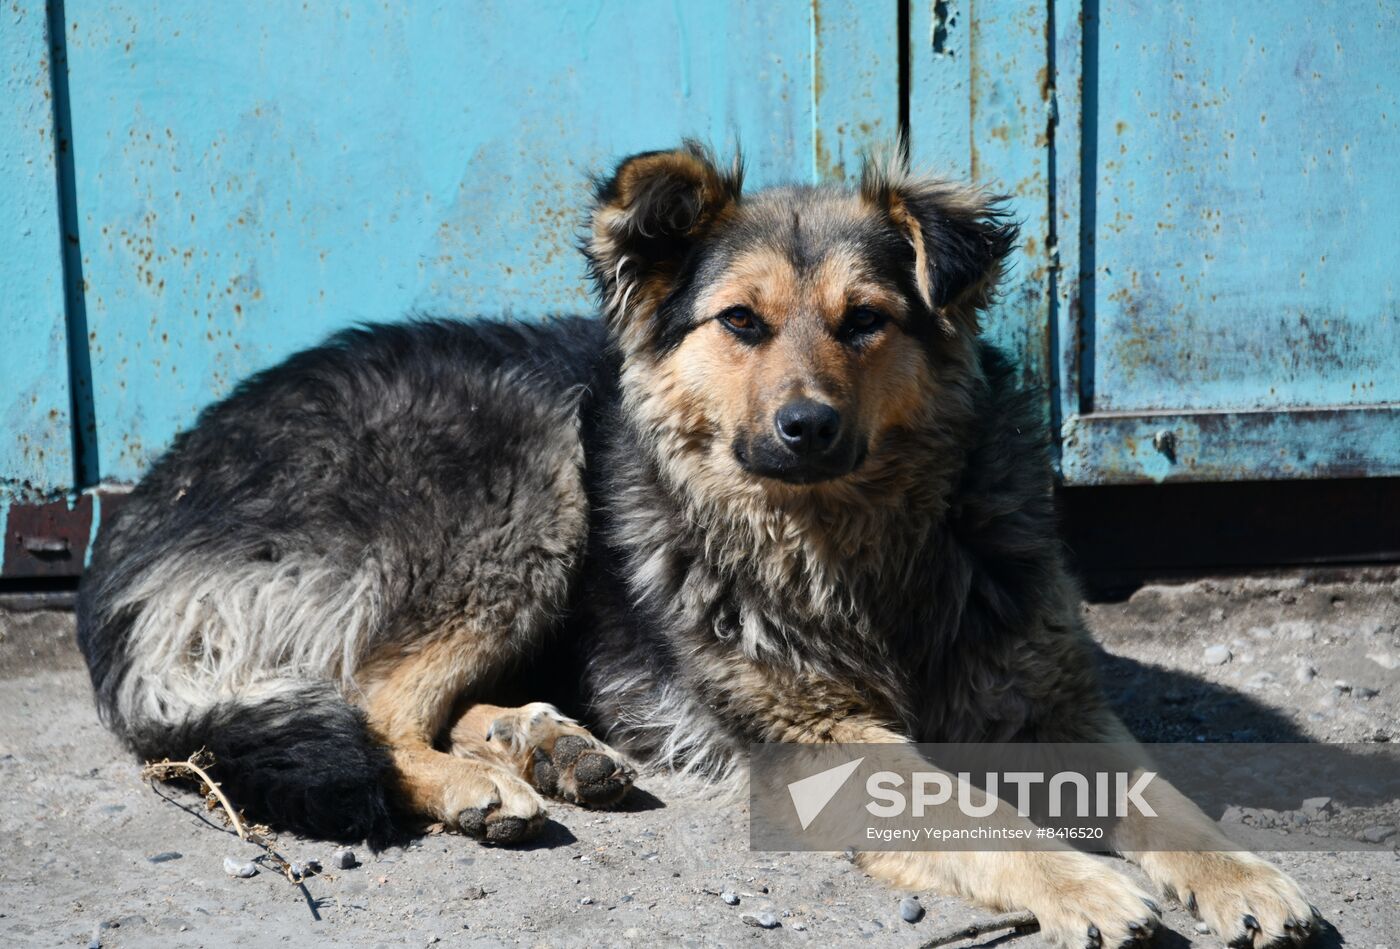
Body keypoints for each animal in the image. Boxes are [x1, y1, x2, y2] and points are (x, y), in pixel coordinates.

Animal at [76, 144, 1316, 946]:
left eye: (865, 320)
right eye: (740, 324)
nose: (804, 427)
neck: (851, 541)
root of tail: (141, 508)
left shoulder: (1051, 696)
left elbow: (1163, 794)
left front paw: (1242, 873)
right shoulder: (817, 738)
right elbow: (973, 813)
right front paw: (1084, 884)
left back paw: (542, 745)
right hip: (530, 465)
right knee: (373, 702)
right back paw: (480, 782)